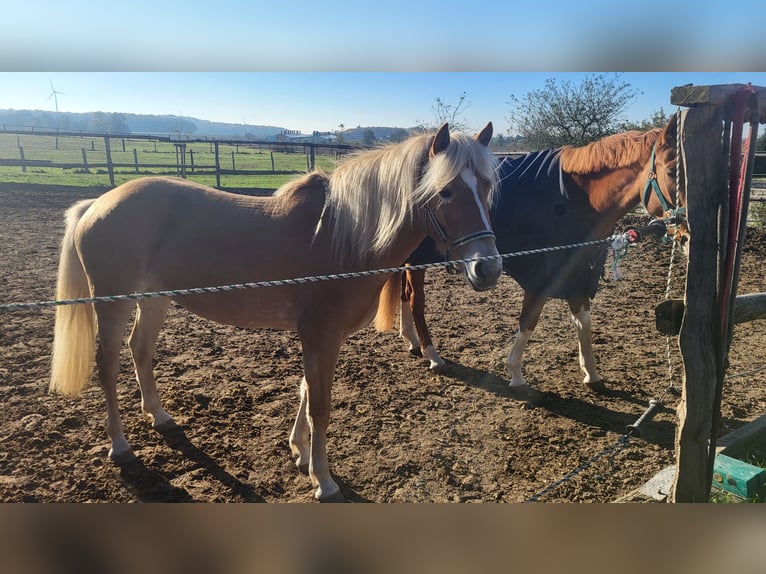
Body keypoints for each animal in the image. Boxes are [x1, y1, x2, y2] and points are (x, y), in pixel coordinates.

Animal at [49, 122, 504, 504]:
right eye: (445, 192)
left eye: (486, 188)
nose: (488, 268)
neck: (343, 235)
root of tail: (97, 203)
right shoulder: (319, 335)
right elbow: (320, 404)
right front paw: (323, 479)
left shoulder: (320, 337)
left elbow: (304, 390)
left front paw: (300, 453)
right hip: (113, 302)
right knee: (107, 364)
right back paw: (120, 446)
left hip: (155, 299)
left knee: (139, 350)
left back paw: (160, 417)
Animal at [388, 114, 688, 392]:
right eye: (672, 171)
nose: (686, 235)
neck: (575, 202)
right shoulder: (542, 278)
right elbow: (528, 321)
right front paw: (516, 374)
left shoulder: (578, 275)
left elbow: (584, 323)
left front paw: (591, 373)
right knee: (415, 300)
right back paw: (432, 354)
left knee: (404, 294)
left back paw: (412, 341)